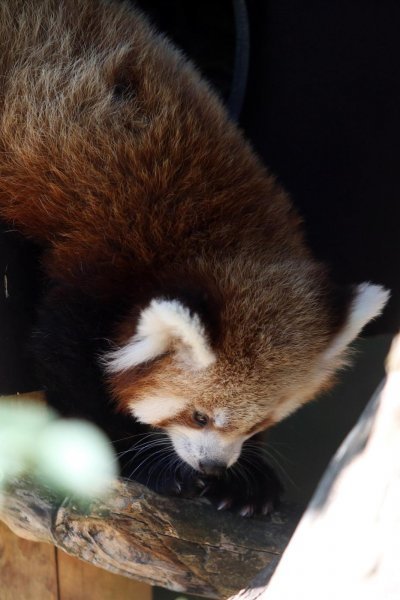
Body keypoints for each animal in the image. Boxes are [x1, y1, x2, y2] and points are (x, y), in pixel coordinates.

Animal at [0, 0, 390, 516]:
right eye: (199, 415)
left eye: (259, 421)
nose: (213, 466)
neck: (213, 231)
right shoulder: (101, 258)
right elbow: (65, 358)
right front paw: (148, 464)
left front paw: (248, 481)